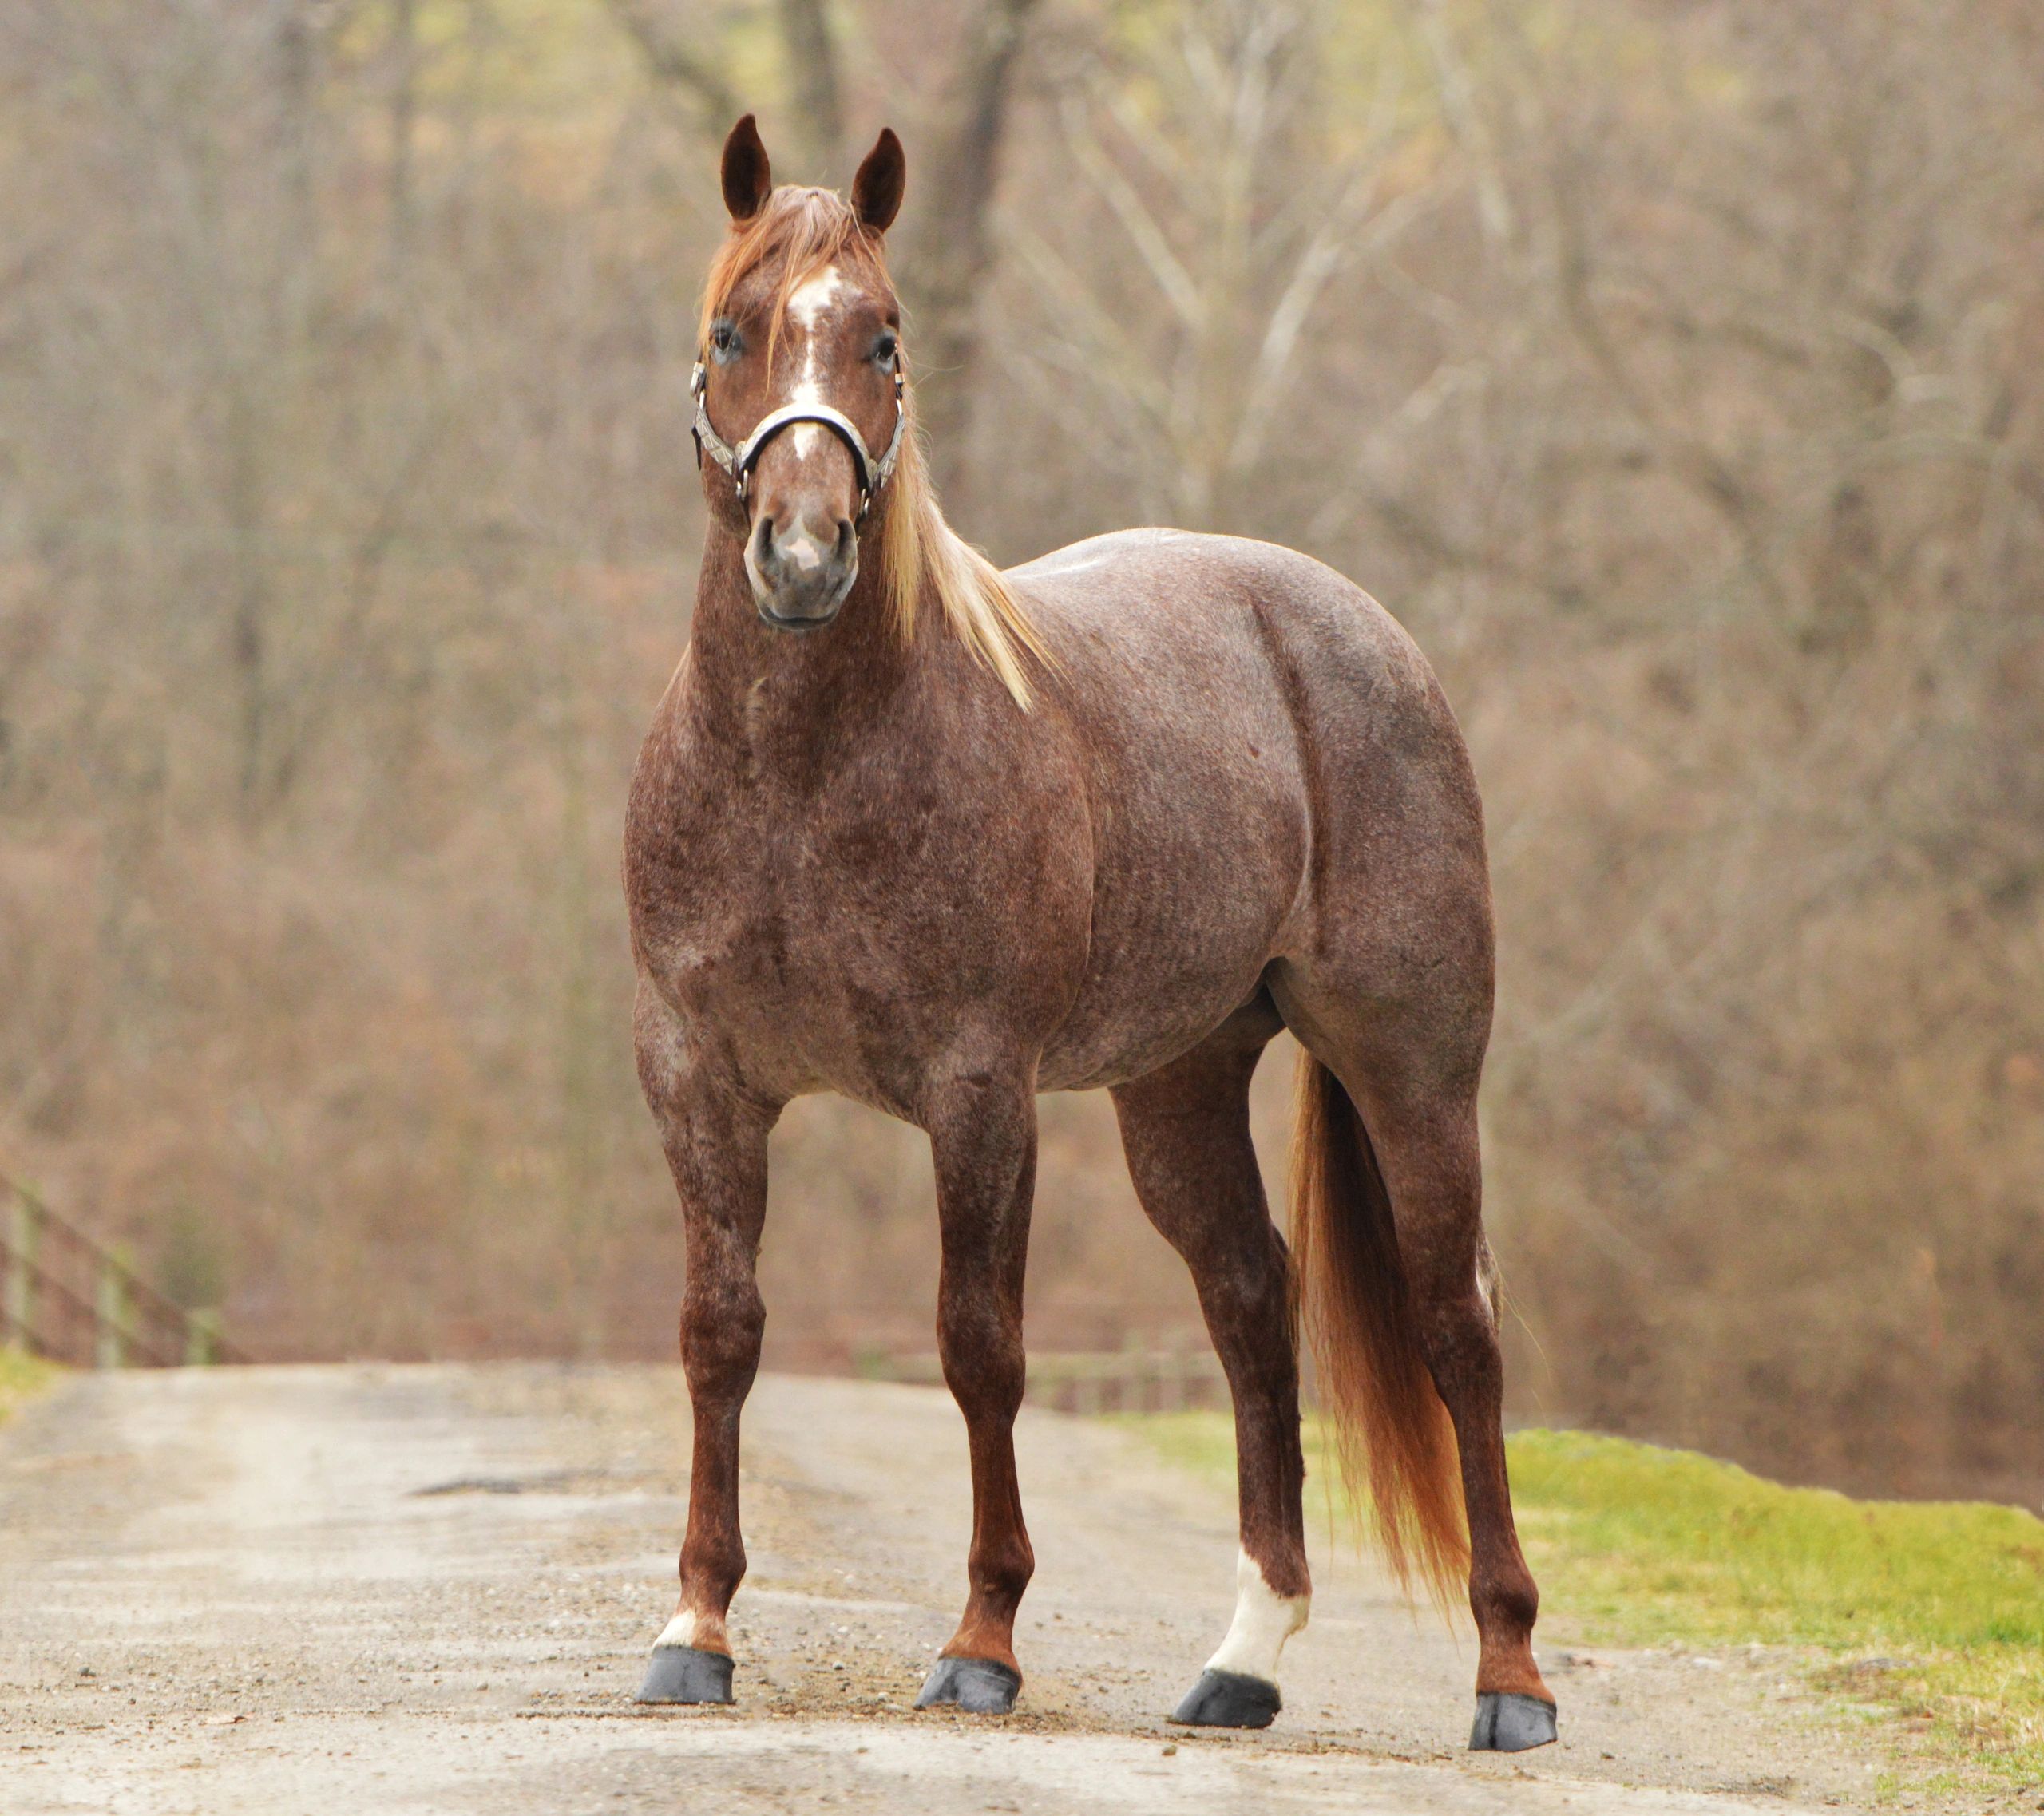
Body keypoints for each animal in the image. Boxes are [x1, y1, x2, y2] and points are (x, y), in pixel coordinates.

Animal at [621, 114, 1556, 1753]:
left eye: (884, 338)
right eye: (732, 332)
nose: (801, 553)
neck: (803, 769)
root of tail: (1350, 628)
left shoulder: (979, 1092)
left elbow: (977, 1344)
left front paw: (982, 1640)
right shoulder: (701, 1079)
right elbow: (719, 1331)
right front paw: (698, 1625)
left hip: (1415, 1073)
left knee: (1459, 1326)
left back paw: (1510, 1676)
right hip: (1175, 1088)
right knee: (1253, 1306)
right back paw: (1244, 1660)